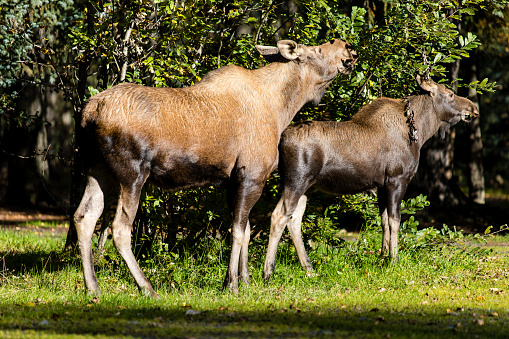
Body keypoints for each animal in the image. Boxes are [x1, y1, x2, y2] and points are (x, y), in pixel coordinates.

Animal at [74, 38, 358, 298]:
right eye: (317, 49)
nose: (347, 47)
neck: (281, 107)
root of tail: (89, 113)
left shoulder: (233, 180)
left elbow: (245, 230)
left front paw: (244, 279)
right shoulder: (252, 174)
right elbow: (239, 232)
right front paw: (232, 283)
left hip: (97, 169)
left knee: (84, 217)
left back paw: (92, 288)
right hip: (132, 174)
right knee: (119, 228)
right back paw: (147, 287)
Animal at [264, 75, 478, 280]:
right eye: (450, 94)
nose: (473, 108)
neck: (421, 133)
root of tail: (281, 141)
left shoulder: (381, 185)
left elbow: (383, 221)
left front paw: (382, 256)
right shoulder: (397, 179)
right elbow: (395, 221)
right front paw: (394, 259)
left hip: (307, 186)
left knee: (294, 220)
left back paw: (308, 268)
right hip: (296, 181)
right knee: (279, 216)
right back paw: (268, 272)